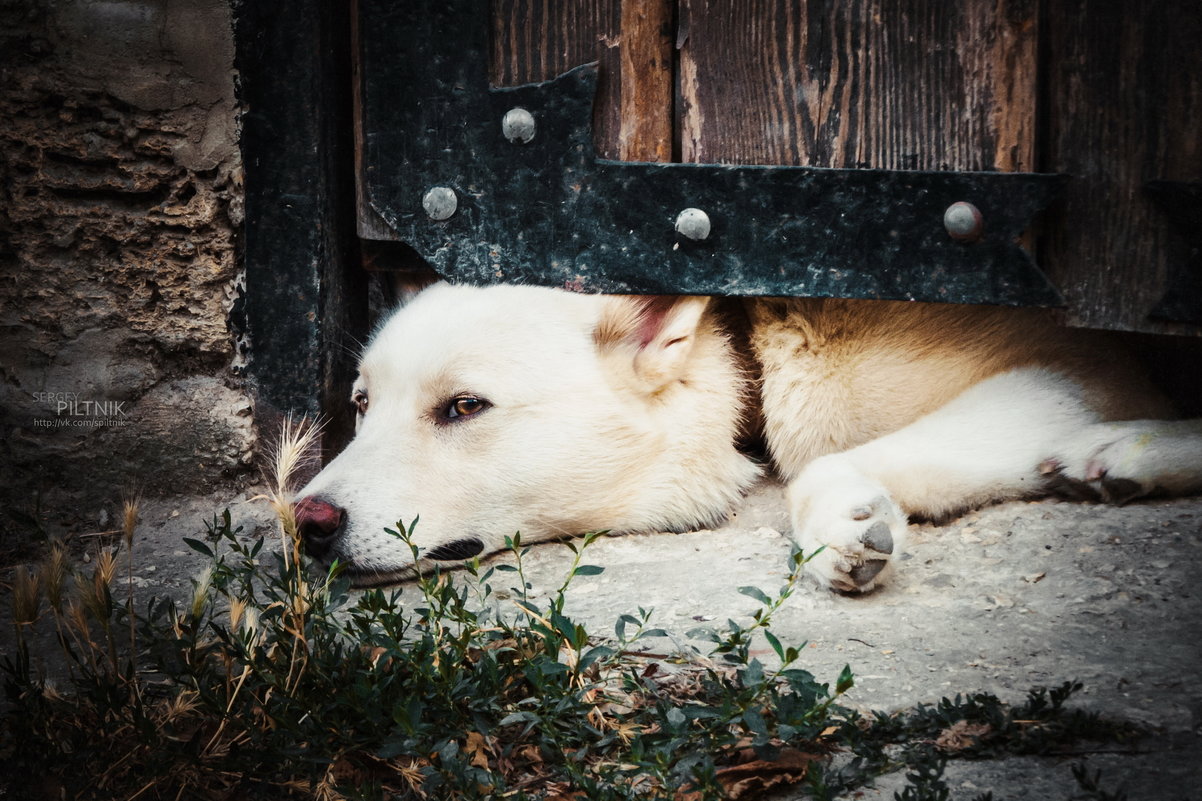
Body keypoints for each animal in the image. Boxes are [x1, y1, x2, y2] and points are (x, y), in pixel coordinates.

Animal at [293, 280, 1202, 586]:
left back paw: (1123, 450)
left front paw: (844, 520)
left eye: (463, 407)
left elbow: (827, 466)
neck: (747, 354)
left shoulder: (1068, 368)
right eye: (362, 403)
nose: (305, 522)